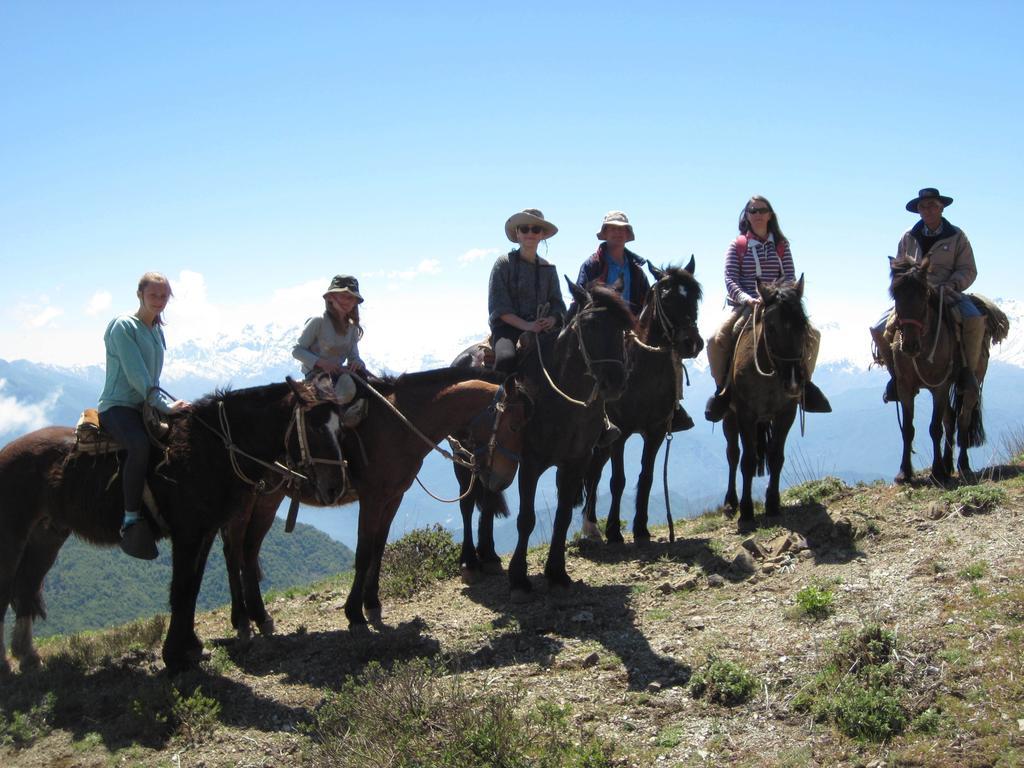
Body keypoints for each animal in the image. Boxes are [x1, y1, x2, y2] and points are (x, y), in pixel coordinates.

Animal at [452, 280, 634, 598]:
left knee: (487, 499)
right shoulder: (530, 464)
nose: (615, 381)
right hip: (462, 460)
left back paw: (489, 556)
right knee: (467, 503)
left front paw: (557, 573)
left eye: (622, 326)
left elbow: (562, 516)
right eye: (589, 325)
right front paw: (519, 579)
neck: (561, 398)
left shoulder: (575, 462)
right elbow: (526, 519)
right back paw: (471, 563)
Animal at [577, 260, 704, 548]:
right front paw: (614, 531)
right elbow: (618, 481)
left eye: (695, 297)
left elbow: (646, 477)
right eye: (666, 298)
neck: (644, 373)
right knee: (593, 474)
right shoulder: (621, 434)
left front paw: (641, 529)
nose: (691, 343)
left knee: (593, 472)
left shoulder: (655, 432)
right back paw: (591, 527)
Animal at [724, 278, 819, 536]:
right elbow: (747, 460)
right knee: (733, 454)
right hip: (729, 417)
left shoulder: (786, 413)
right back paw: (730, 503)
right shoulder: (745, 415)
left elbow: (776, 456)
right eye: (771, 327)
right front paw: (746, 511)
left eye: (802, 324)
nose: (794, 381)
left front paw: (773, 504)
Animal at [892, 259, 987, 487]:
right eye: (895, 294)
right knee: (950, 419)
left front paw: (936, 472)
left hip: (969, 384)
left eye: (924, 294)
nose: (909, 345)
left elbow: (934, 429)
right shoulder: (904, 387)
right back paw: (947, 464)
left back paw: (962, 465)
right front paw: (904, 472)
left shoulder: (940, 387)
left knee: (962, 419)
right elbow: (908, 429)